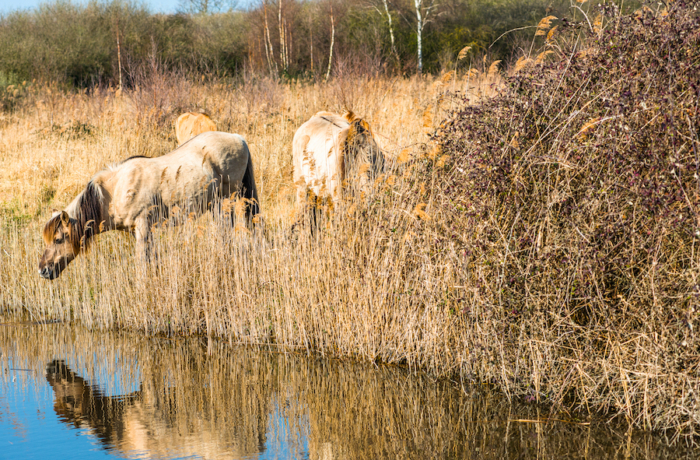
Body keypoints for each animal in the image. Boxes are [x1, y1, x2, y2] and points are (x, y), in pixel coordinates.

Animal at [38, 130, 258, 280]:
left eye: (58, 239)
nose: (43, 270)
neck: (116, 190)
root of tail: (239, 138)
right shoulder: (139, 231)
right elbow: (151, 258)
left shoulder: (143, 225)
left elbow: (142, 262)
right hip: (217, 205)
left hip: (226, 200)